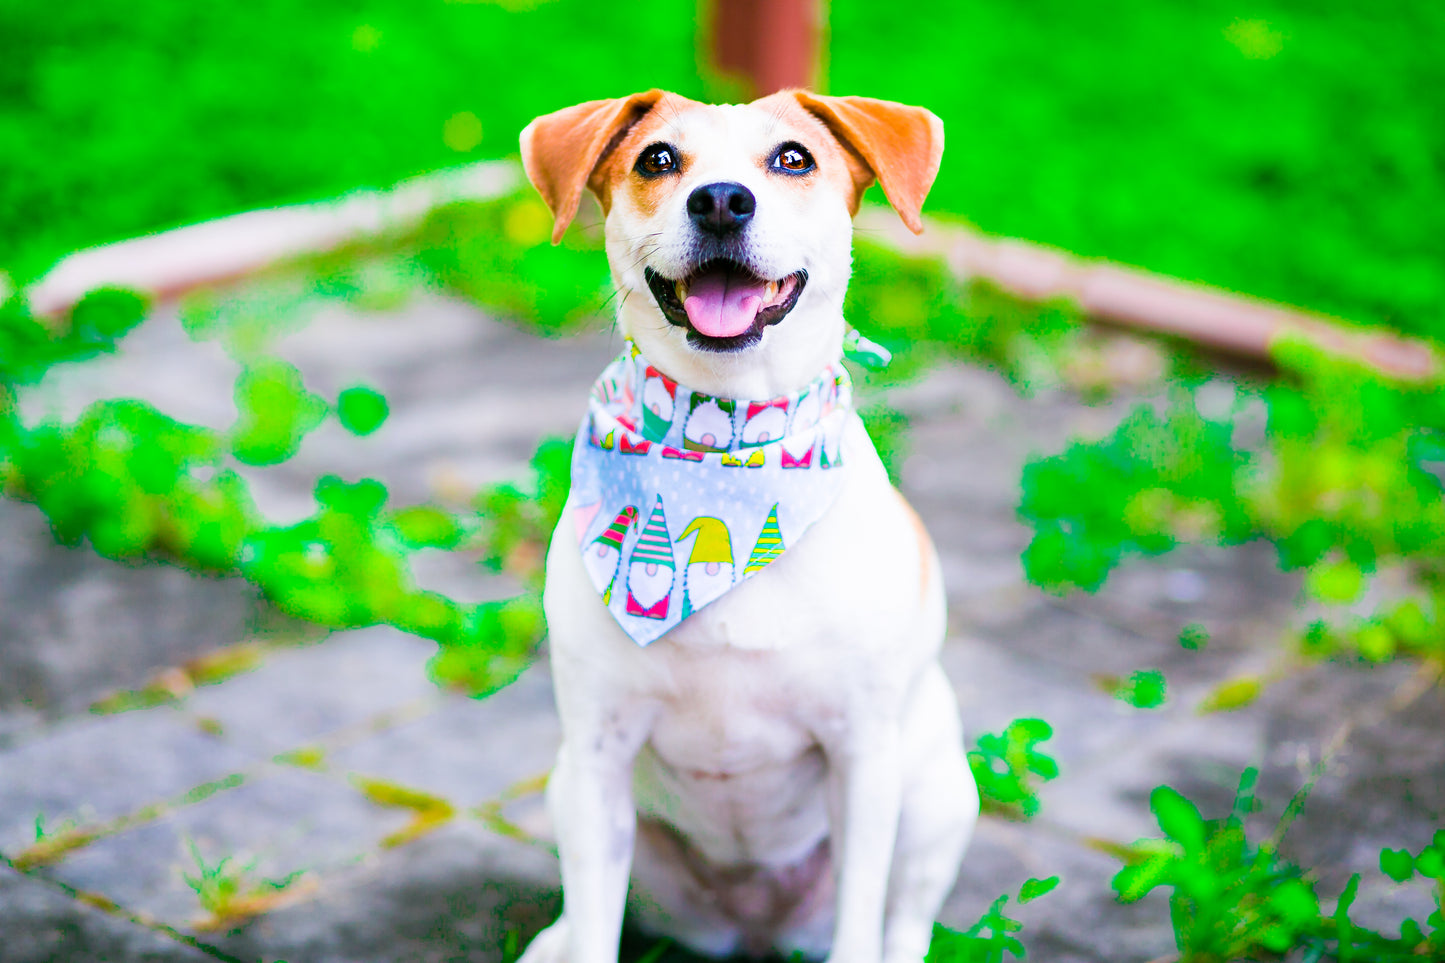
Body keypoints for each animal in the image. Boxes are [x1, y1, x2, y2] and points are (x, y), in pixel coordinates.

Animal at [514, 90, 976, 960]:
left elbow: (864, 916)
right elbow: (594, 922)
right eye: (657, 159)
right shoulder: (595, 756)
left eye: (792, 159)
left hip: (935, 796)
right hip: (570, 792)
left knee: (904, 916)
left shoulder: (862, 755)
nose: (722, 200)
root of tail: (757, 927)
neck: (725, 446)